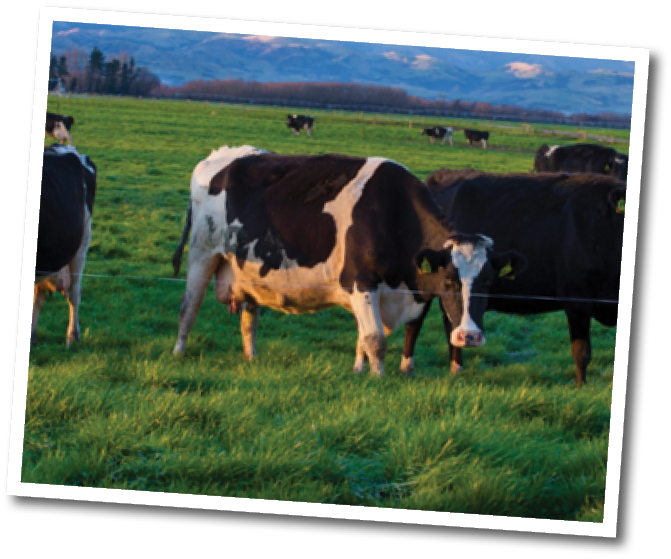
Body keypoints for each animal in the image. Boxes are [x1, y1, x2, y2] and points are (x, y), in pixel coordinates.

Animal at [171, 146, 526, 377]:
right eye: (450, 280)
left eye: (489, 281)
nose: (470, 336)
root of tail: (221, 155)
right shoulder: (361, 281)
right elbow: (375, 339)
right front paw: (379, 379)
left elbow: (362, 337)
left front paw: (358, 371)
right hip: (202, 253)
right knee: (189, 307)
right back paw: (179, 352)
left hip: (250, 270)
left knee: (249, 319)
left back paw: (251, 358)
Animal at [402, 168, 626, 386]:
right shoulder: (576, 300)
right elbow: (581, 352)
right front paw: (580, 387)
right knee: (415, 323)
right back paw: (408, 369)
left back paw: (456, 370)